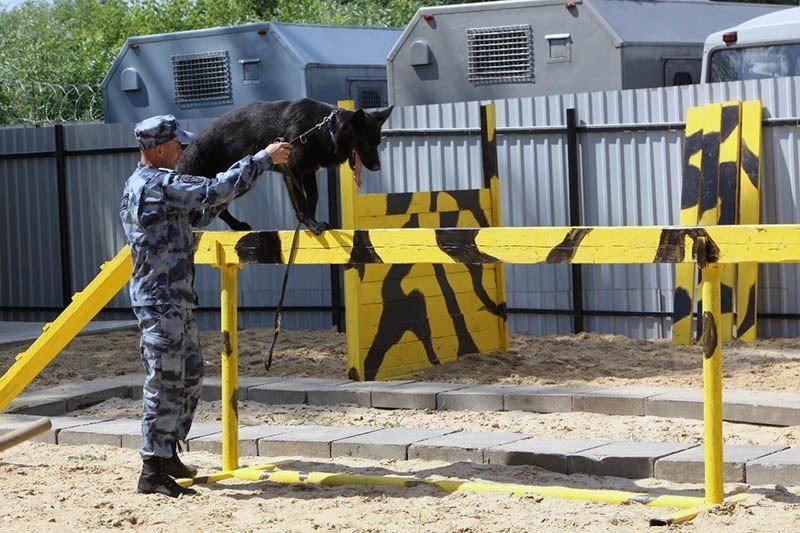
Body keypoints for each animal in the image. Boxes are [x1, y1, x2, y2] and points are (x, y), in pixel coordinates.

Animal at [180, 98, 396, 232]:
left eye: (378, 142)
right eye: (366, 142)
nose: (377, 168)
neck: (324, 128)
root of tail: (192, 145)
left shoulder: (307, 172)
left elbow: (313, 197)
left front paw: (311, 221)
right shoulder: (292, 172)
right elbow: (300, 200)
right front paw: (310, 224)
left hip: (237, 183)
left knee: (218, 208)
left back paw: (236, 225)